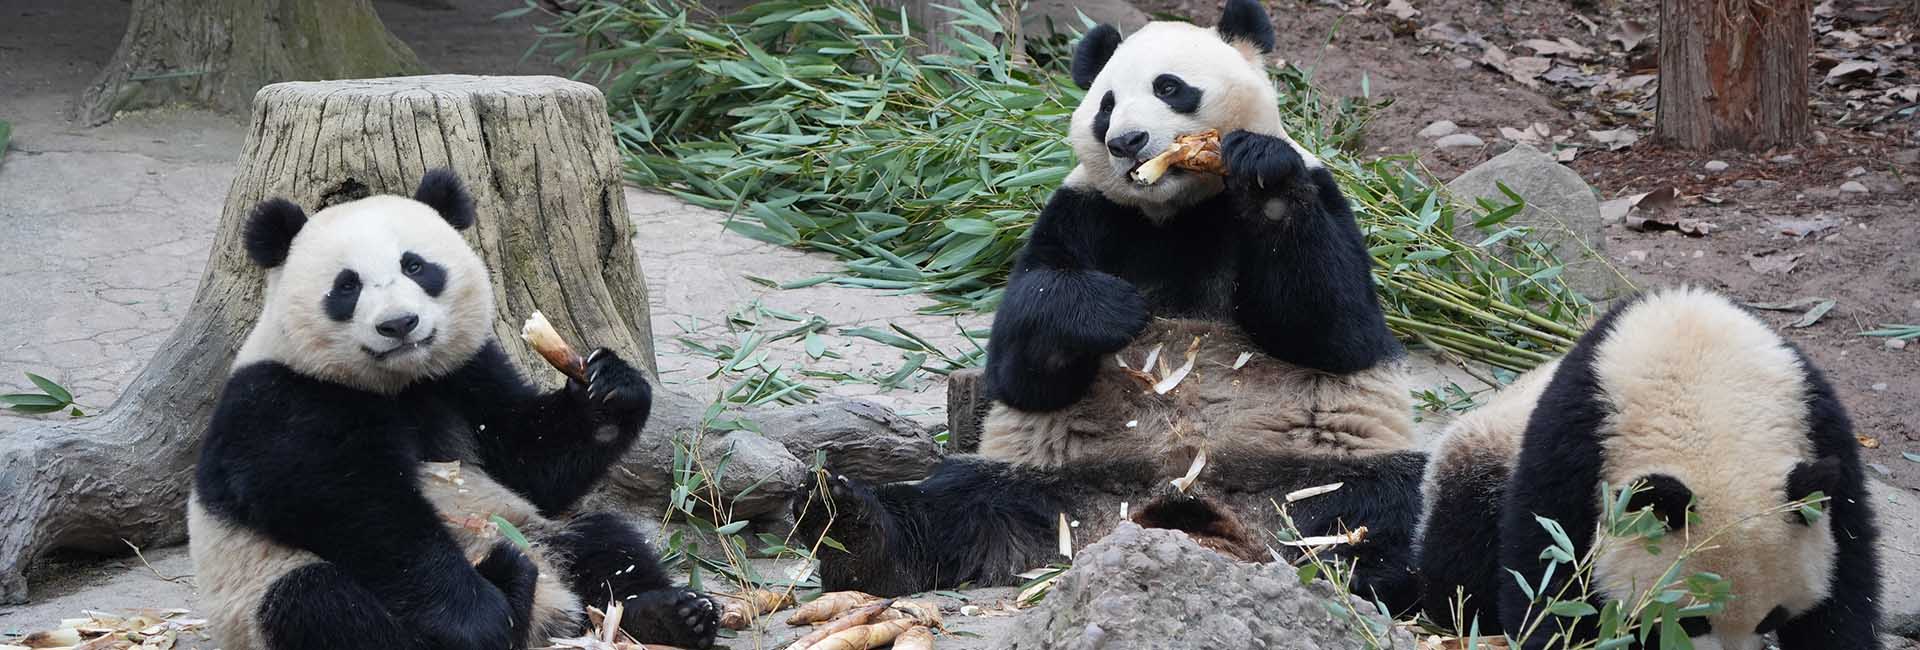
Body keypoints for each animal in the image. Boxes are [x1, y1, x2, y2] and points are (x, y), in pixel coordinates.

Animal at [187, 170, 719, 650]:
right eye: (347, 286)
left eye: (416, 267)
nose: (399, 324)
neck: (398, 383)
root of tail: (551, 615)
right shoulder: (280, 399)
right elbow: (352, 504)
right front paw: (476, 614)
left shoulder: (465, 373)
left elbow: (530, 463)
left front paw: (610, 389)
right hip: (258, 598)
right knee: (324, 608)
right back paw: (508, 593)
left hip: (535, 531)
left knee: (604, 541)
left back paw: (671, 615)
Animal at [793, 0, 1424, 611]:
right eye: (1106, 105)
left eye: (1169, 87)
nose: (1125, 142)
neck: (1179, 208)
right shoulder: (1083, 211)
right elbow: (1021, 363)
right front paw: (1110, 310)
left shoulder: (1320, 190)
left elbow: (1338, 329)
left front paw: (1261, 173)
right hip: (1055, 485)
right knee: (954, 507)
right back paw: (854, 528)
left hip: (1309, 477)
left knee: (1388, 512)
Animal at [1462, 287, 1879, 650]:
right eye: (1692, 621)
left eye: (1772, 617)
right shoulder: (1574, 440)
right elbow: (1549, 566)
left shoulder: (1819, 423)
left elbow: (1847, 579)